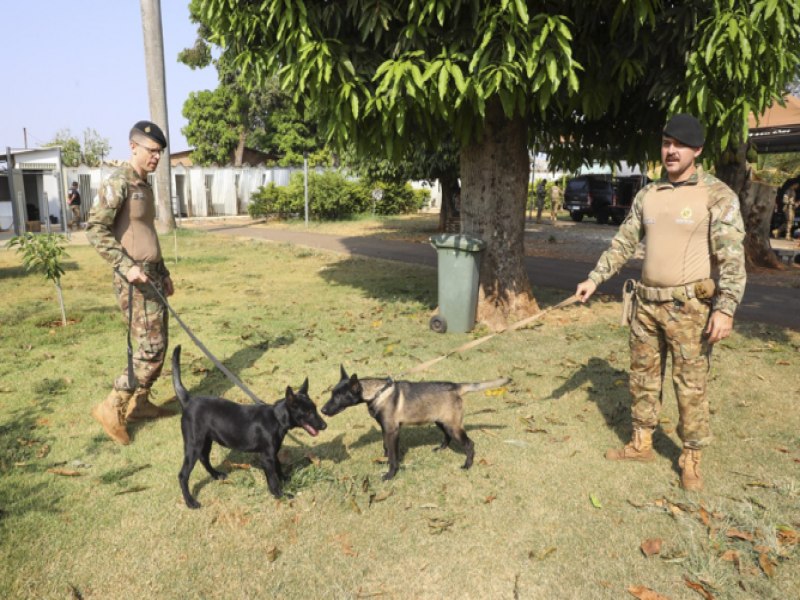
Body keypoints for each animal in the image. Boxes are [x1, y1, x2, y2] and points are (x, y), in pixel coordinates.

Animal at [173, 344, 326, 508]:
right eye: (308, 412)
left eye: (315, 409)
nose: (325, 425)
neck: (276, 419)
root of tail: (188, 401)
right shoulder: (267, 457)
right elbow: (272, 479)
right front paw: (280, 494)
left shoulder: (273, 453)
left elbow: (278, 467)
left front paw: (285, 479)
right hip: (194, 443)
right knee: (183, 475)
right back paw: (190, 501)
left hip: (206, 441)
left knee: (204, 459)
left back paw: (216, 474)